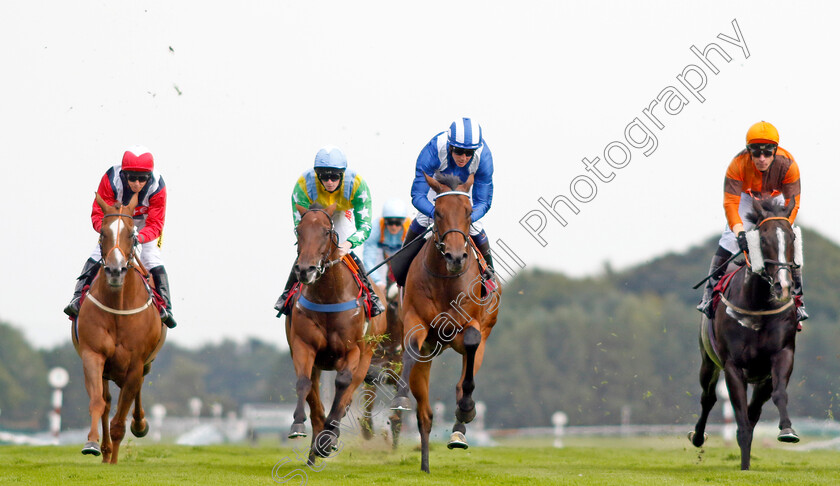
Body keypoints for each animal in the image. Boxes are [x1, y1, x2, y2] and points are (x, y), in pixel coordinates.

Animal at [73, 192, 167, 466]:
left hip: (144, 364)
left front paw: (114, 461)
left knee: (133, 395)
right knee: (106, 401)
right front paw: (93, 444)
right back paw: (104, 451)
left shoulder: (136, 363)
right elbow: (98, 402)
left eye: (131, 234)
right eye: (103, 232)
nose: (115, 270)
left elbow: (119, 421)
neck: (118, 306)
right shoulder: (93, 355)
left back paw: (138, 425)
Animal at [284, 203, 386, 466]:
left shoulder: (354, 350)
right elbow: (304, 383)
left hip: (366, 356)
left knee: (349, 392)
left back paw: (329, 435)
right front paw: (298, 425)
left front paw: (330, 435)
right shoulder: (302, 345)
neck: (329, 296)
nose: (305, 270)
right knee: (315, 397)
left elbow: (342, 385)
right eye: (298, 230)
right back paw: (314, 449)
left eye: (326, 232)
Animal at [390, 173, 502, 472]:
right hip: (427, 358)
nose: (455, 257)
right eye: (438, 213)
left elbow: (470, 356)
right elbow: (411, 348)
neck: (446, 281)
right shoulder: (416, 321)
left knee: (463, 380)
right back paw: (425, 465)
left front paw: (466, 409)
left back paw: (459, 431)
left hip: (480, 338)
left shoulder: (470, 327)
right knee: (426, 415)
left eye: (468, 211)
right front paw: (400, 397)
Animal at [692, 196, 804, 468]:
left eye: (791, 238)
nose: (783, 285)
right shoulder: (733, 366)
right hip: (708, 362)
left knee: (755, 411)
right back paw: (698, 437)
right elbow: (739, 415)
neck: (758, 306)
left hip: (762, 378)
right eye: (762, 239)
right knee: (708, 398)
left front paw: (787, 431)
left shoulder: (781, 355)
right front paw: (744, 466)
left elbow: (779, 395)